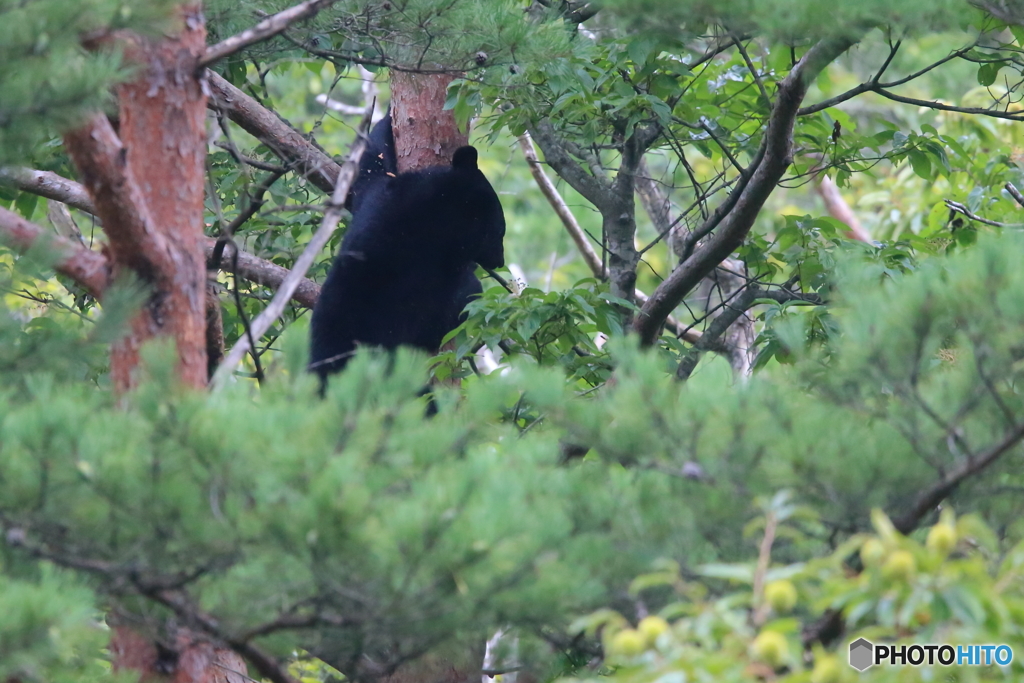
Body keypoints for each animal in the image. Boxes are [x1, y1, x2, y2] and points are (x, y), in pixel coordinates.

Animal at [309, 111, 505, 378]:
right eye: (498, 233)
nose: (500, 261)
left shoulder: (380, 198)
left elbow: (372, 163)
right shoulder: (420, 277)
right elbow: (438, 315)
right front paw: (469, 286)